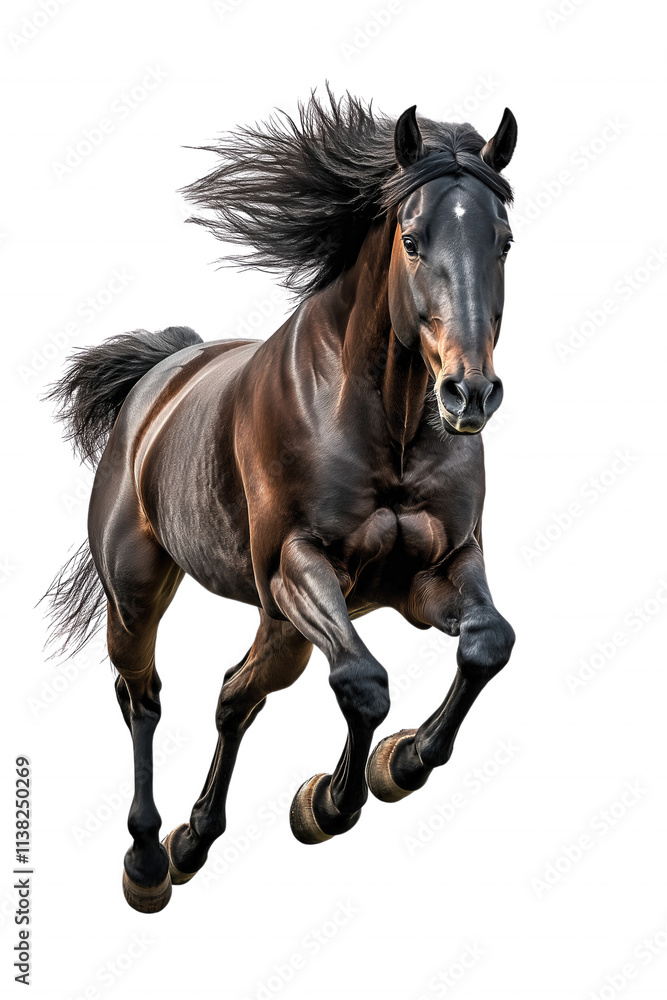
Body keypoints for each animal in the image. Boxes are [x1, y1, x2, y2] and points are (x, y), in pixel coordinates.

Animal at [45, 91, 518, 913]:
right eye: (412, 239)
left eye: (505, 242)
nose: (470, 394)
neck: (388, 428)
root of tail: (161, 374)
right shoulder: (300, 566)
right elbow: (362, 682)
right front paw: (331, 801)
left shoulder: (434, 571)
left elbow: (488, 642)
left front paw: (398, 764)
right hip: (142, 594)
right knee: (143, 697)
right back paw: (148, 859)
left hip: (279, 625)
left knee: (237, 694)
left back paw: (193, 841)